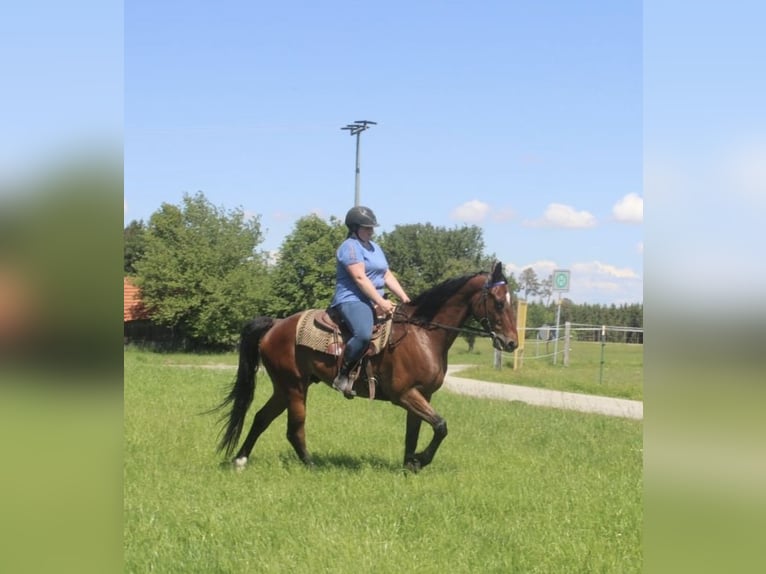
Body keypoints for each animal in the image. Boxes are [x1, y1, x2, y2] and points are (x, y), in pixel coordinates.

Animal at [213, 260, 520, 472]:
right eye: (497, 302)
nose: (511, 343)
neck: (422, 334)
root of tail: (275, 325)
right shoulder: (404, 394)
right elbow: (441, 426)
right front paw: (421, 460)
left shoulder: (422, 395)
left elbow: (414, 433)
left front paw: (409, 465)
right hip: (295, 388)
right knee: (294, 429)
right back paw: (311, 465)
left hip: (284, 388)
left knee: (261, 418)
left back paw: (240, 460)